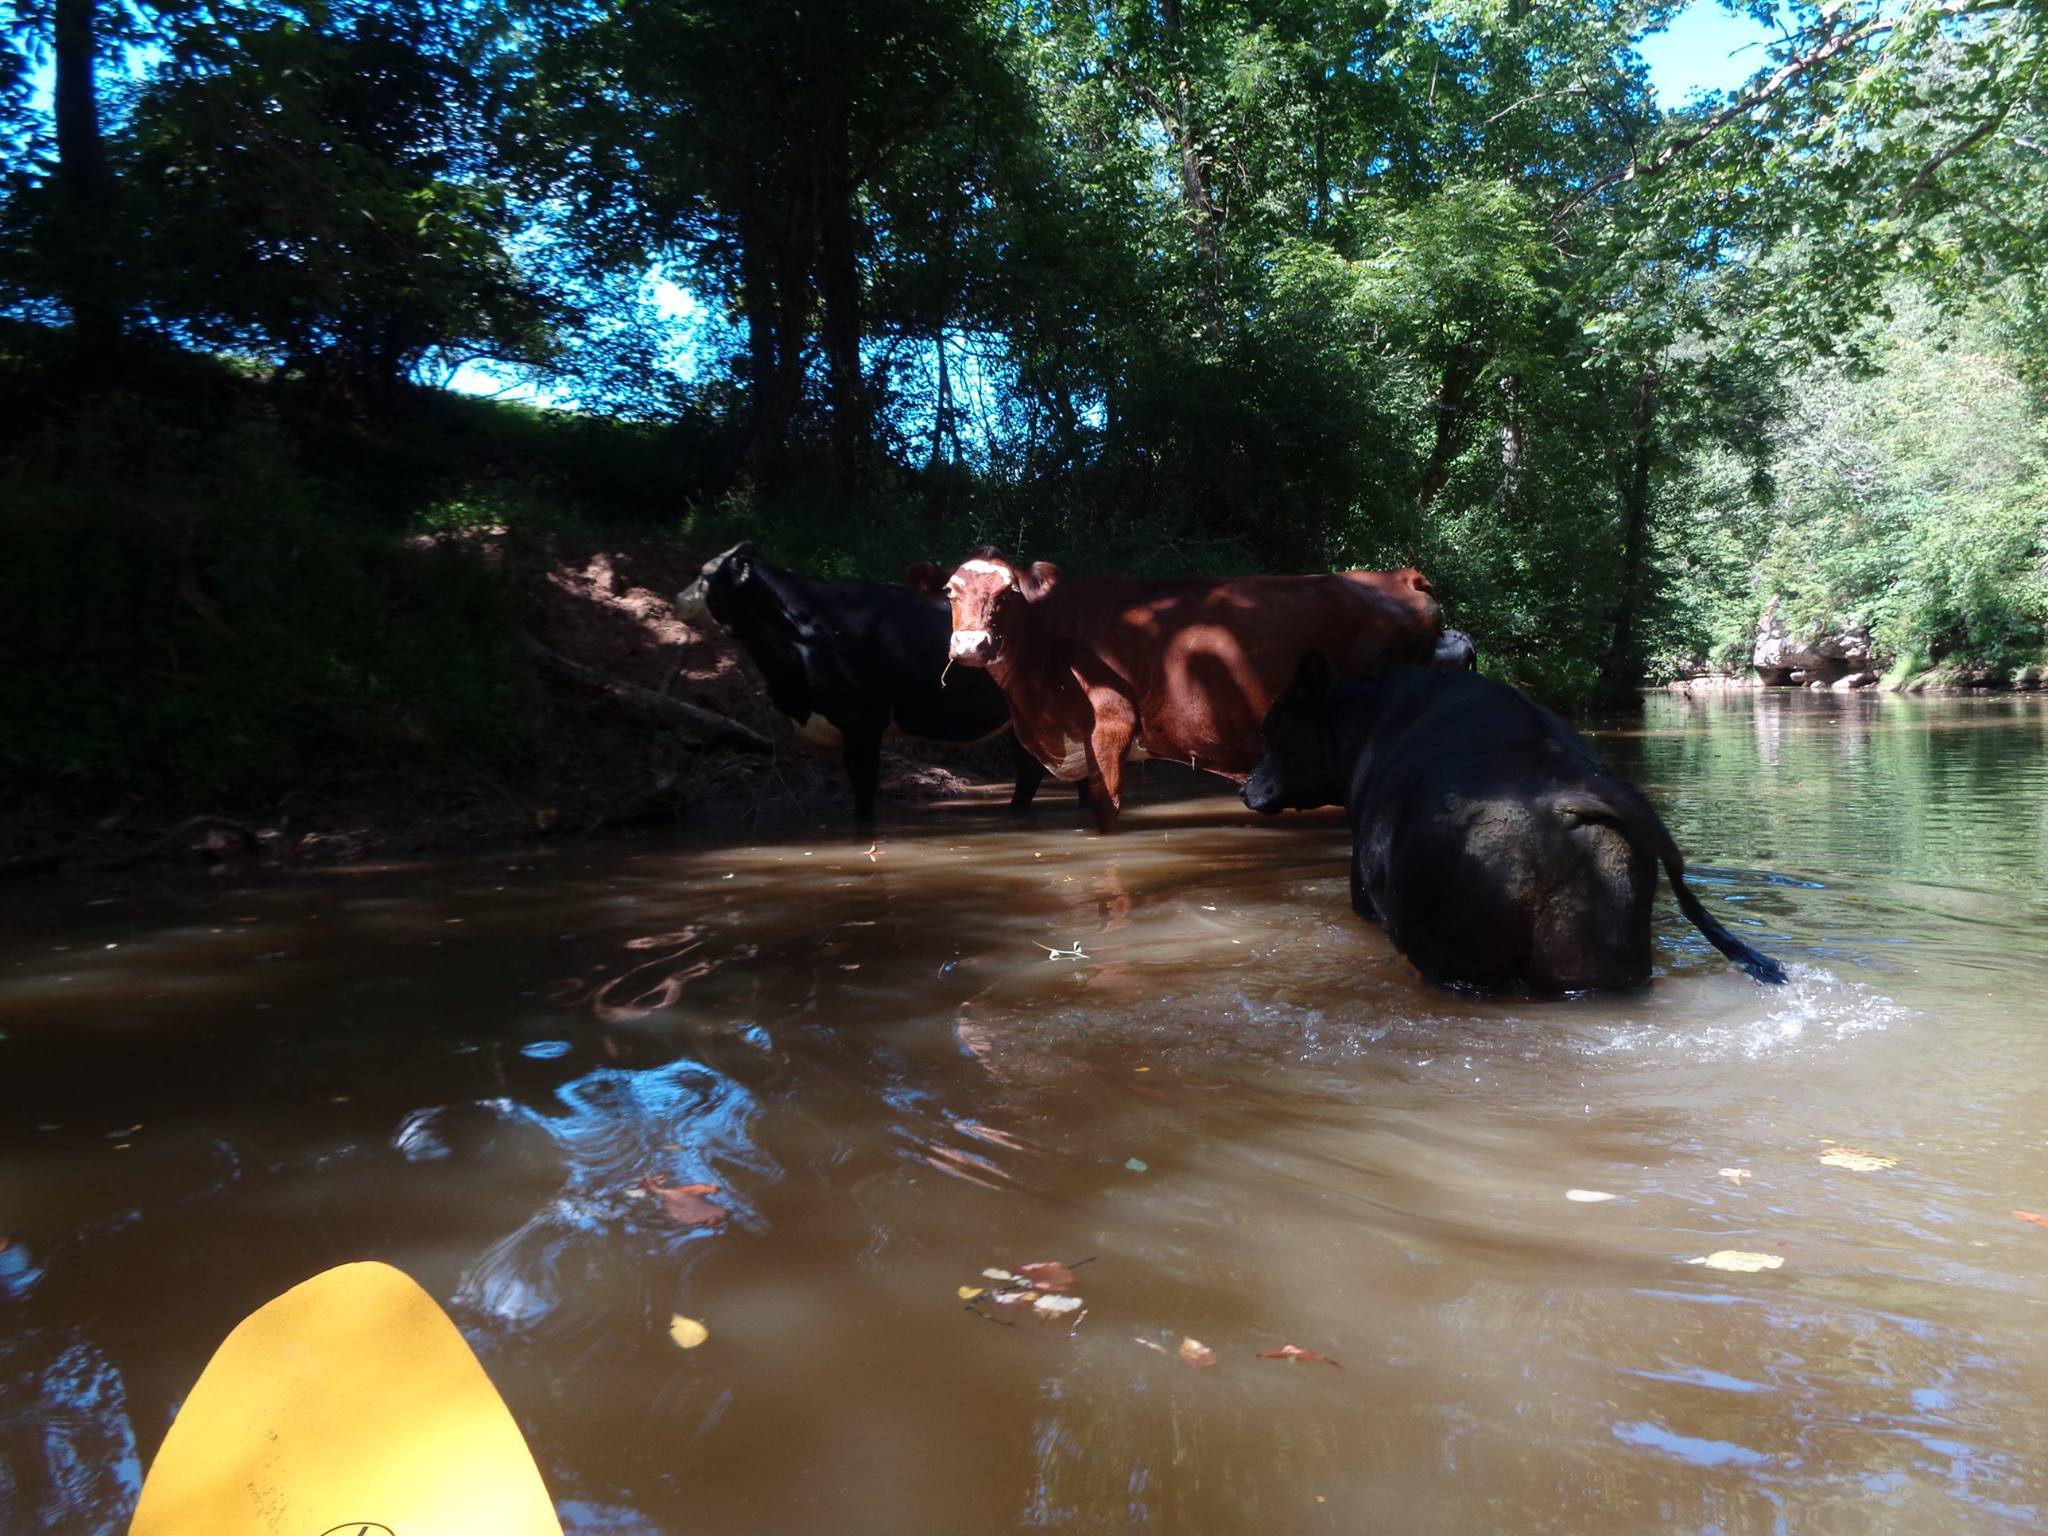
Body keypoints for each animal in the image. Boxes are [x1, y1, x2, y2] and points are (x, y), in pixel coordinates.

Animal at [942, 552, 1441, 835]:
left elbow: (1106, 810)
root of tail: (1402, 576)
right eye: (950, 591)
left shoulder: (1110, 725)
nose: (970, 645)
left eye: (1008, 593)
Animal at [1236, 659, 1785, 999]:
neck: (1362, 722)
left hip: (1458, 958)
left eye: (1271, 727)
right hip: (1600, 957)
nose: (1245, 789)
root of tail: (1572, 786)